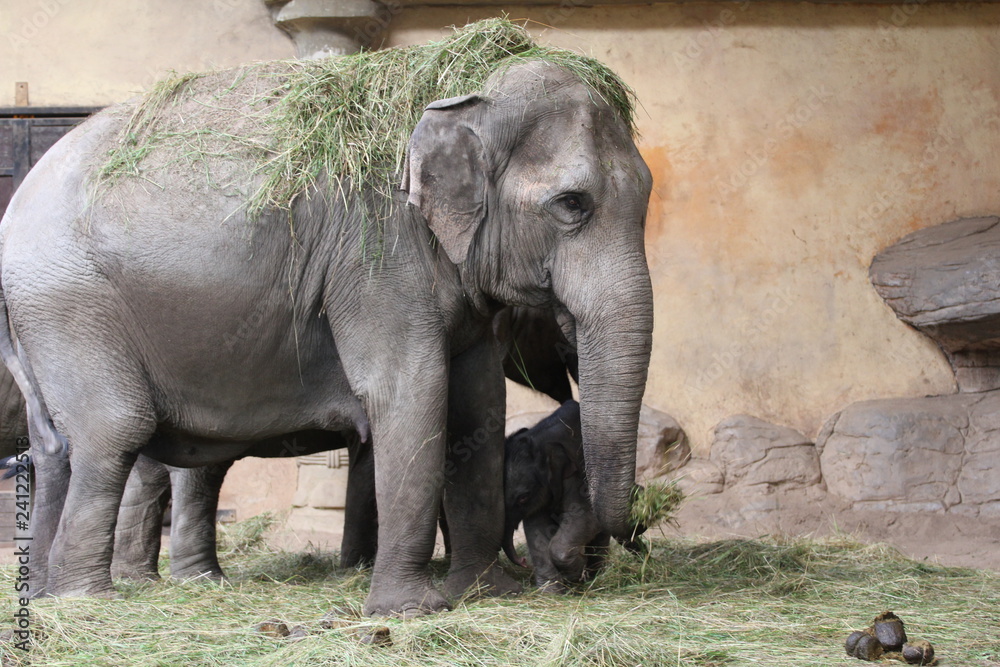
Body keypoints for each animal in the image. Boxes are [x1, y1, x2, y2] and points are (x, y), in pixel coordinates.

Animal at [0, 52, 653, 616]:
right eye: (572, 204)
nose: (580, 563)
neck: (459, 91)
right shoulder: (378, 255)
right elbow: (413, 391)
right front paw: (409, 611)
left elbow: (479, 402)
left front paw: (488, 594)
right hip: (70, 303)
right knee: (117, 430)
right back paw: (91, 601)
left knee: (61, 445)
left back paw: (55, 595)